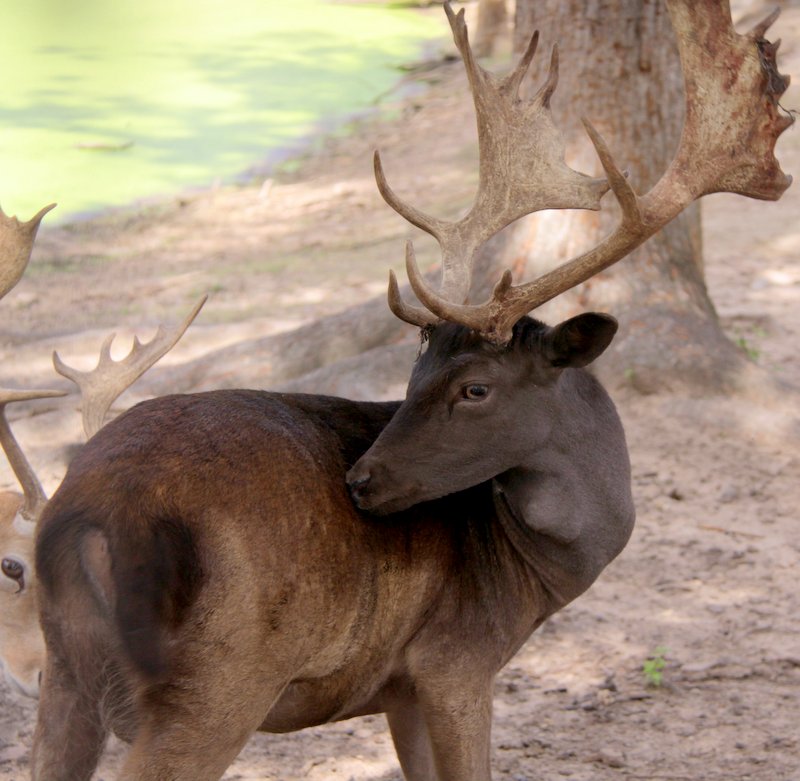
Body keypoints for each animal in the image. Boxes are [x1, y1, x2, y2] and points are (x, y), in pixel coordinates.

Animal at [29, 3, 788, 776]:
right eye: (417, 375)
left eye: (473, 388)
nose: (361, 480)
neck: (537, 578)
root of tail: (87, 515)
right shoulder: (454, 661)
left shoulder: (398, 688)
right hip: (217, 679)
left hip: (64, 673)